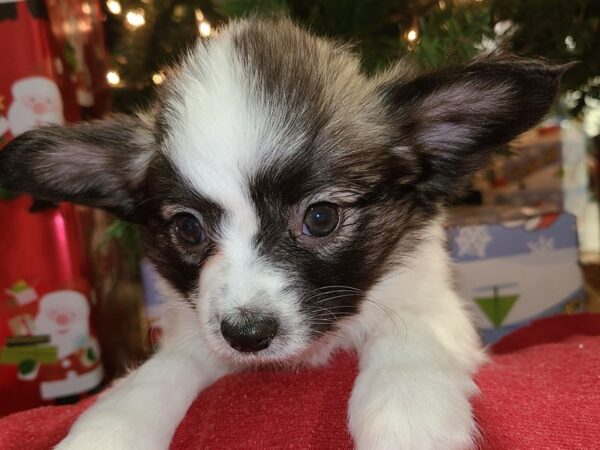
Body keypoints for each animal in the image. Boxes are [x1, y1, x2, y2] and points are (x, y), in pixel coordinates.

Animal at [0, 17, 564, 450]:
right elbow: (160, 373)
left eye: (320, 218)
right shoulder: (196, 329)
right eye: (188, 227)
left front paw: (408, 412)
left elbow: (409, 337)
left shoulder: (432, 300)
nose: (247, 335)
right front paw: (109, 429)